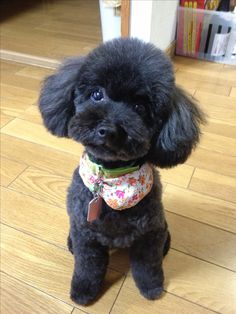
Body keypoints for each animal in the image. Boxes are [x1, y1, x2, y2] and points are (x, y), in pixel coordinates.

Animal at [39, 36, 205, 304]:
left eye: (140, 107)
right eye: (97, 94)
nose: (108, 130)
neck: (111, 182)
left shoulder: (150, 234)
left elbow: (148, 266)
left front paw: (152, 289)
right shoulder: (85, 235)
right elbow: (87, 266)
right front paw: (82, 293)